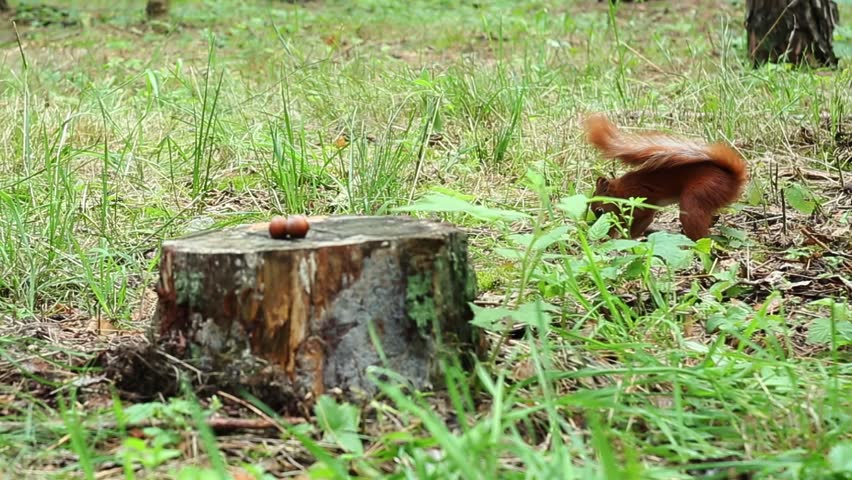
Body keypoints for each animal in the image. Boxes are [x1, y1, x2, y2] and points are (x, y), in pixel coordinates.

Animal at [583, 113, 747, 241]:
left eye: (599, 211)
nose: (595, 225)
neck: (620, 192)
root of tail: (733, 180)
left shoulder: (641, 203)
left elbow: (641, 222)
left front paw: (627, 239)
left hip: (697, 196)